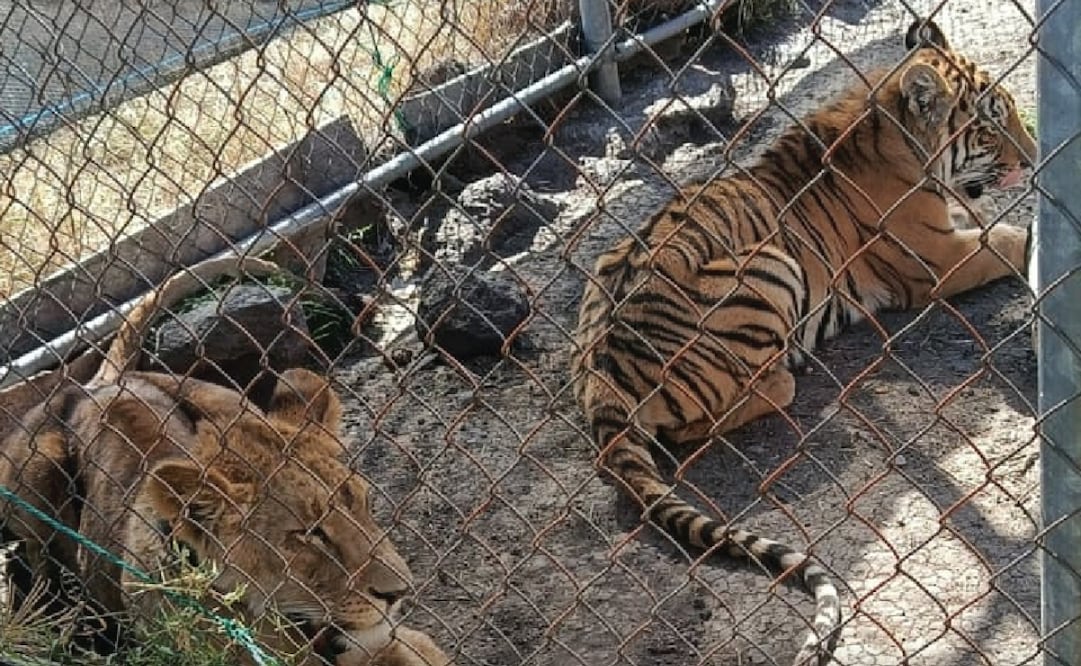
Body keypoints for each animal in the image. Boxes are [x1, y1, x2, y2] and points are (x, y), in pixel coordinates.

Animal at [570, 18, 1035, 665]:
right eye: (991, 127)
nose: (1035, 157)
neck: (890, 127)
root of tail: (601, 376)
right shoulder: (939, 258)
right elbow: (1012, 239)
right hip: (771, 266)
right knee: (719, 413)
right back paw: (793, 369)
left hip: (608, 265)